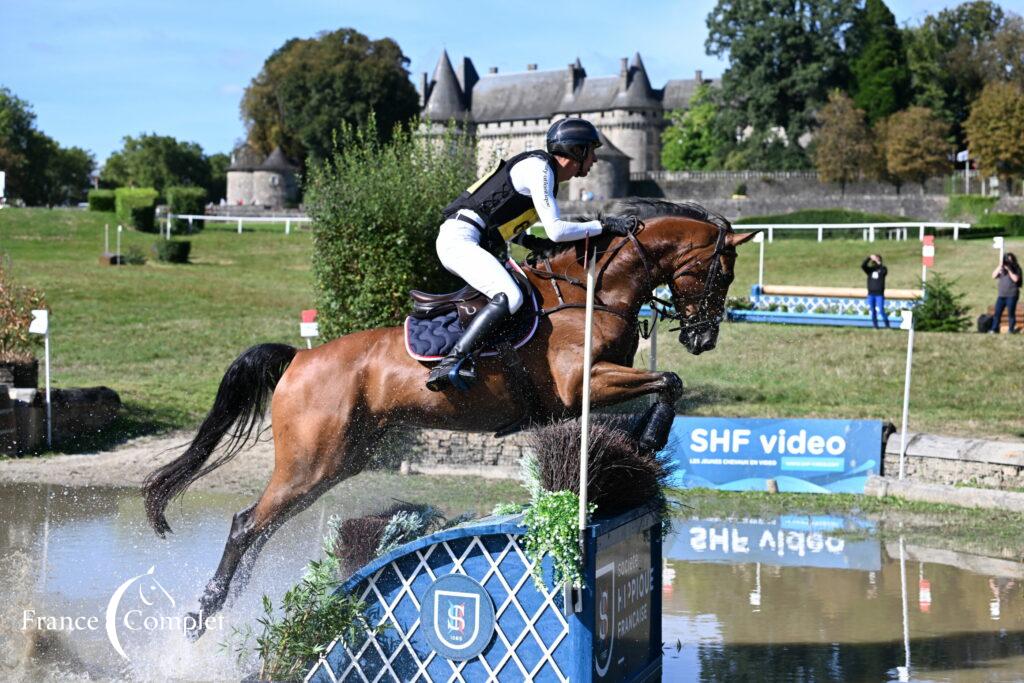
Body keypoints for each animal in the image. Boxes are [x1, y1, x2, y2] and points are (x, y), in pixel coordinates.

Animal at [142, 198, 753, 643]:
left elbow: (663, 387)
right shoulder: (583, 383)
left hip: (340, 460)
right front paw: (649, 440)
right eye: (720, 274)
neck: (592, 292)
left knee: (262, 527)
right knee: (247, 523)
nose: (703, 338)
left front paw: (637, 452)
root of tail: (299, 359)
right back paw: (203, 613)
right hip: (311, 461)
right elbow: (669, 381)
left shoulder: (596, 387)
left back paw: (228, 602)